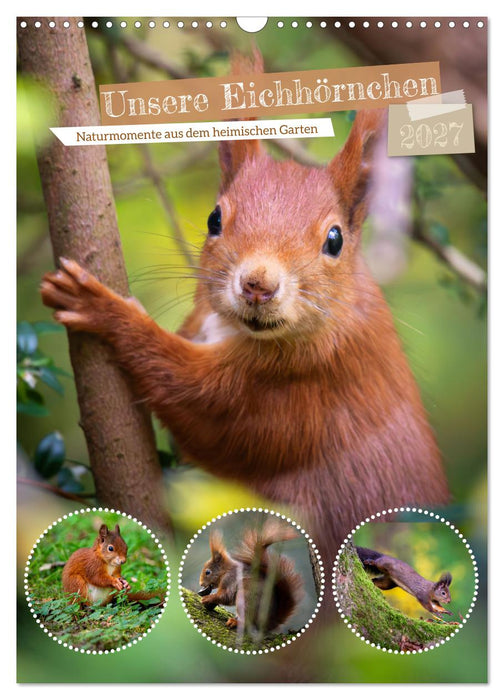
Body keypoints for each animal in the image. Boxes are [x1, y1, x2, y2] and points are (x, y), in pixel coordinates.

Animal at [40, 51, 449, 569]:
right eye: (215, 218)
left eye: (335, 239)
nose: (258, 285)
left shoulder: (301, 388)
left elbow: (201, 406)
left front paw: (100, 306)